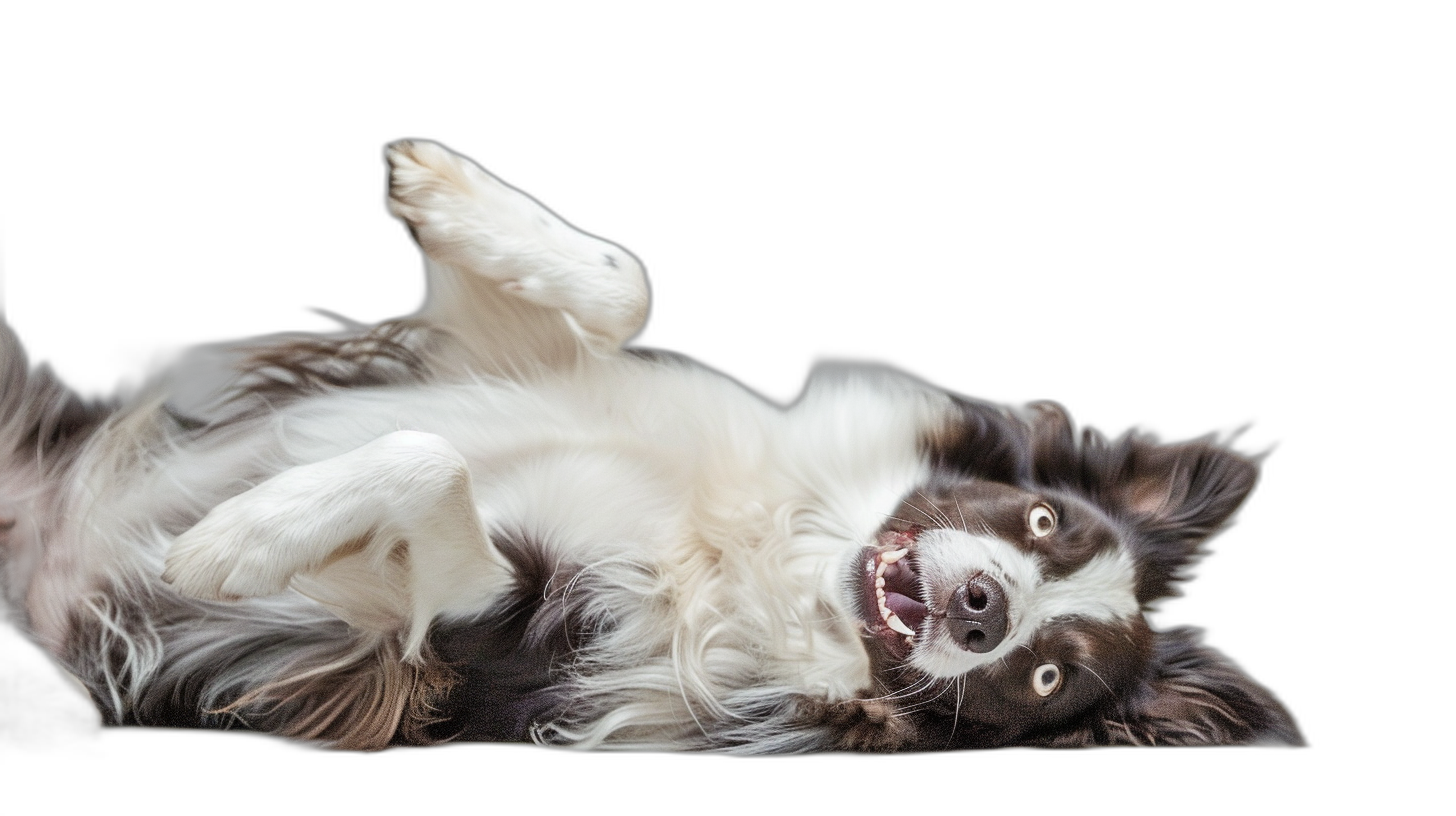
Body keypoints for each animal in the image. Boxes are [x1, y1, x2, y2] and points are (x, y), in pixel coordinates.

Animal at [0, 138, 1304, 751]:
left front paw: (235, 541)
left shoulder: (475, 630)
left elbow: (430, 463)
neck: (771, 546)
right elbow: (624, 286)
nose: (984, 609)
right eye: (1042, 520)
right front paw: (440, 187)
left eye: (1043, 678)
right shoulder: (469, 351)